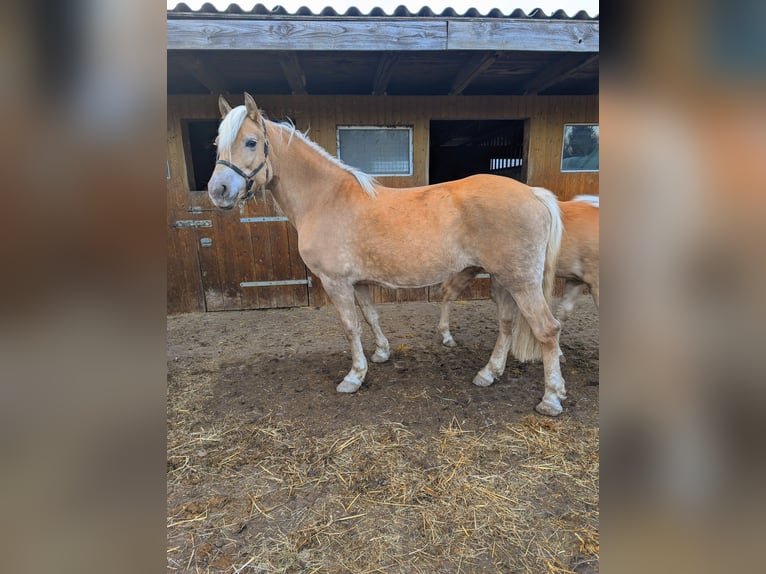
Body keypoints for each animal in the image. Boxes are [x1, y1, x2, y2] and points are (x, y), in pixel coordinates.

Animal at [210, 95, 568, 418]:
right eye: (217, 143)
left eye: (252, 142)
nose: (218, 191)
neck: (325, 198)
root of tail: (533, 193)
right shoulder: (358, 282)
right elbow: (371, 317)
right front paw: (381, 353)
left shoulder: (335, 282)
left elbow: (350, 326)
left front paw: (354, 377)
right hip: (503, 279)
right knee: (507, 325)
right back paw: (489, 373)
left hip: (521, 282)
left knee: (547, 330)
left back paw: (551, 398)